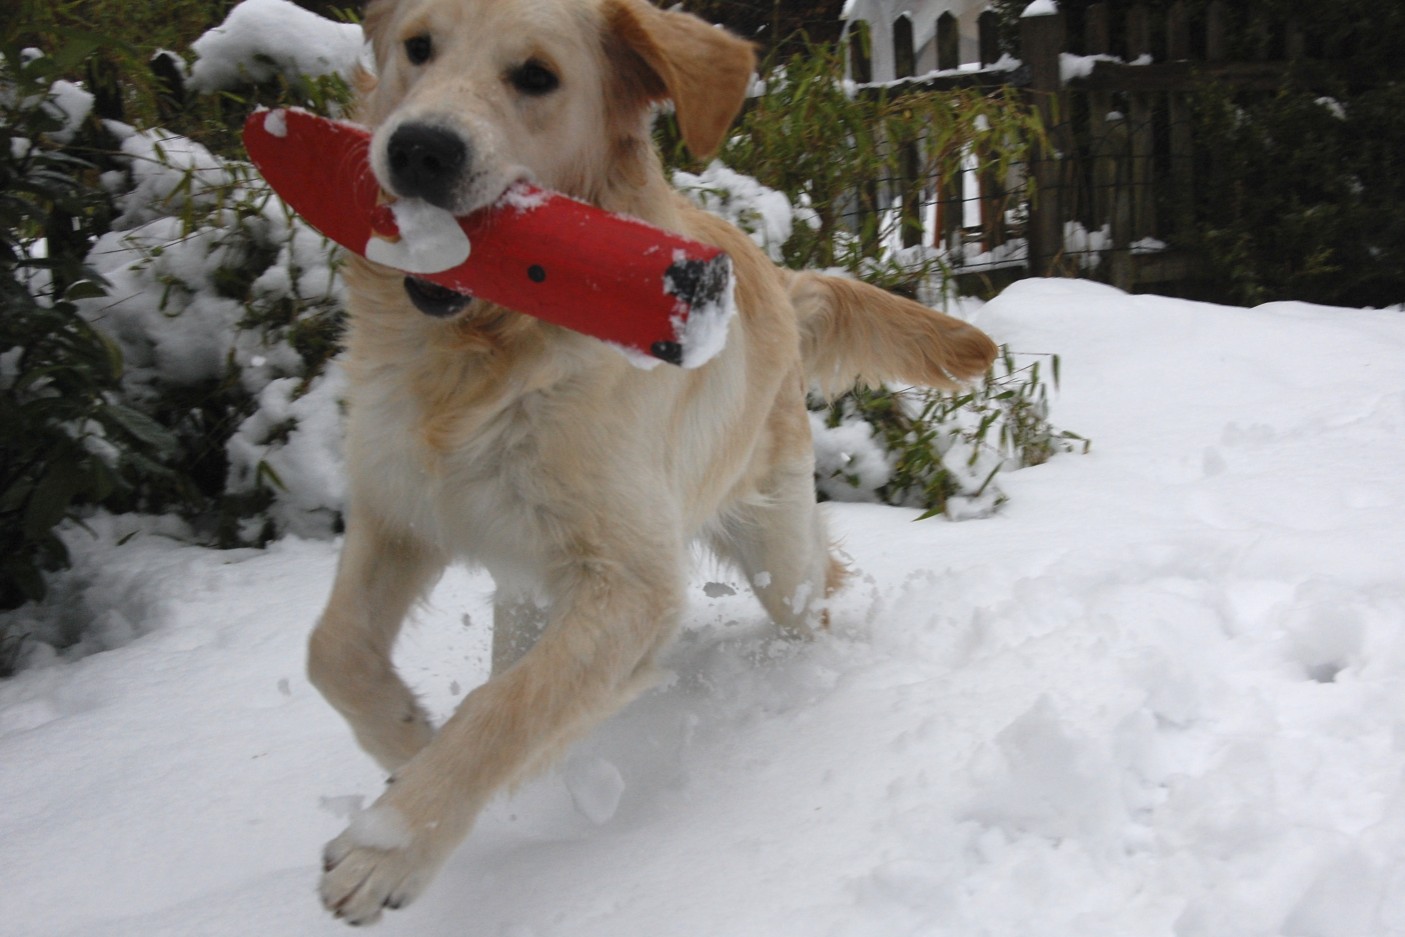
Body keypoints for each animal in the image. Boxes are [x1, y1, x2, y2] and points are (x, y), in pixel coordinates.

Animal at [307, 0, 994, 921]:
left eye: (536, 76)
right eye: (417, 48)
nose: (419, 149)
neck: (486, 352)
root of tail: (781, 282)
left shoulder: (632, 577)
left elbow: (507, 708)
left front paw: (388, 845)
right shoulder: (400, 507)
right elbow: (334, 647)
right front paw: (406, 740)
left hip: (776, 550)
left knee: (812, 588)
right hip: (527, 584)